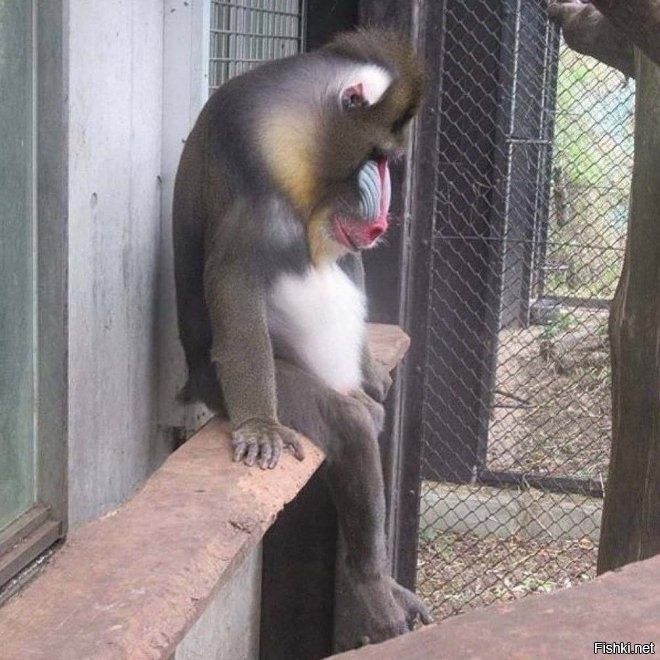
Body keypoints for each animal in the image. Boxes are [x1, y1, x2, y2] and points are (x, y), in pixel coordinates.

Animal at [172, 28, 431, 650]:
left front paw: (370, 371)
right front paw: (260, 427)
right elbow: (234, 281)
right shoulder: (251, 192)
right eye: (376, 158)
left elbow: (349, 262)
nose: (382, 219)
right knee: (351, 428)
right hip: (247, 378)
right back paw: (373, 586)